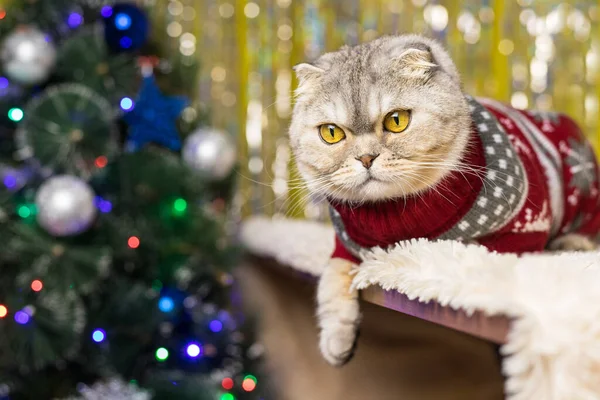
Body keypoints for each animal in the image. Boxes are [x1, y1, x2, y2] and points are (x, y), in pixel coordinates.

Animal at [288, 33, 596, 366]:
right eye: (331, 133)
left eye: (397, 120)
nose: (366, 158)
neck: (396, 215)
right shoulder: (345, 247)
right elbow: (331, 279)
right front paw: (336, 339)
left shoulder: (518, 237)